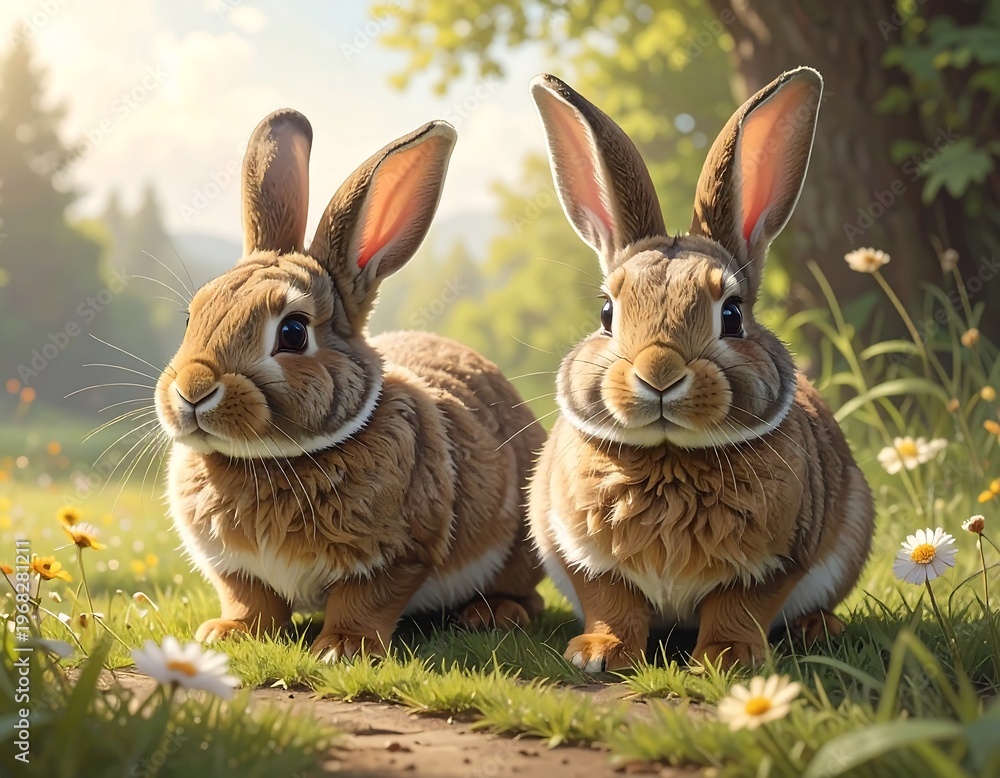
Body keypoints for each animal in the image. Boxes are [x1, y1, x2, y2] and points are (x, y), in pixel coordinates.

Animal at [154, 109, 545, 662]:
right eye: (192, 317)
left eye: (293, 333)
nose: (192, 391)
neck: (273, 459)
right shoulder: (235, 567)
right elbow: (250, 599)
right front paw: (227, 635)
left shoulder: (395, 556)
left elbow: (365, 600)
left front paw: (342, 648)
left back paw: (492, 615)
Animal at [527, 68, 875, 671]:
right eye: (606, 313)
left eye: (731, 315)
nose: (660, 373)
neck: (670, 457)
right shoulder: (581, 552)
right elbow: (611, 601)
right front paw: (598, 654)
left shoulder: (775, 562)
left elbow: (738, 607)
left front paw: (727, 658)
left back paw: (817, 628)